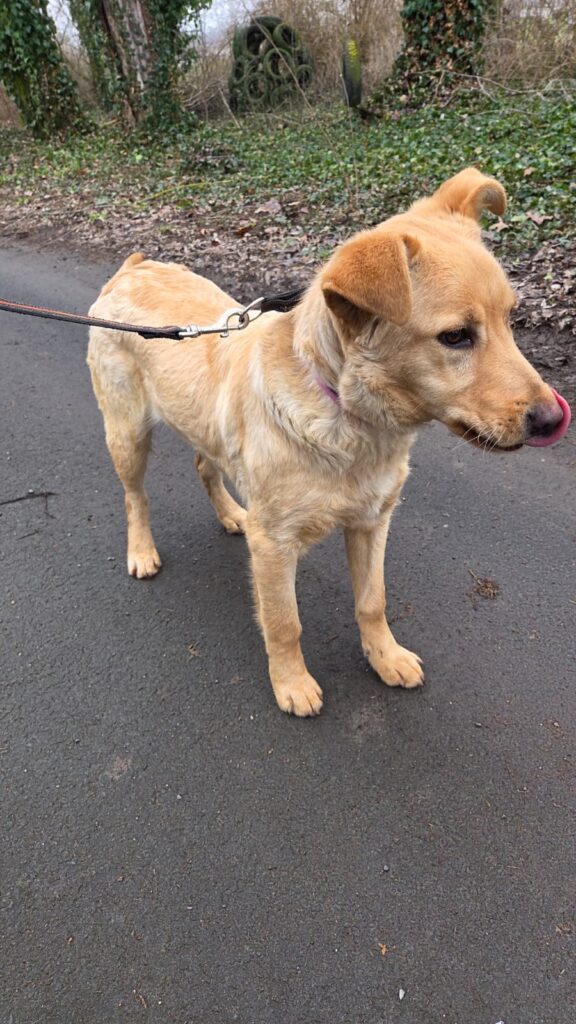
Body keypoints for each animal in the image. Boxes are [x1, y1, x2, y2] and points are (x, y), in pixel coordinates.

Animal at [87, 168, 571, 716]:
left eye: (510, 319)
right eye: (455, 337)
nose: (553, 418)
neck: (348, 419)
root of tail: (132, 268)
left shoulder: (372, 521)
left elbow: (372, 601)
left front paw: (385, 657)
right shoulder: (274, 546)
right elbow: (284, 623)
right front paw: (292, 683)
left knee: (205, 465)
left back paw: (232, 513)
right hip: (127, 433)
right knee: (135, 496)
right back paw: (142, 550)